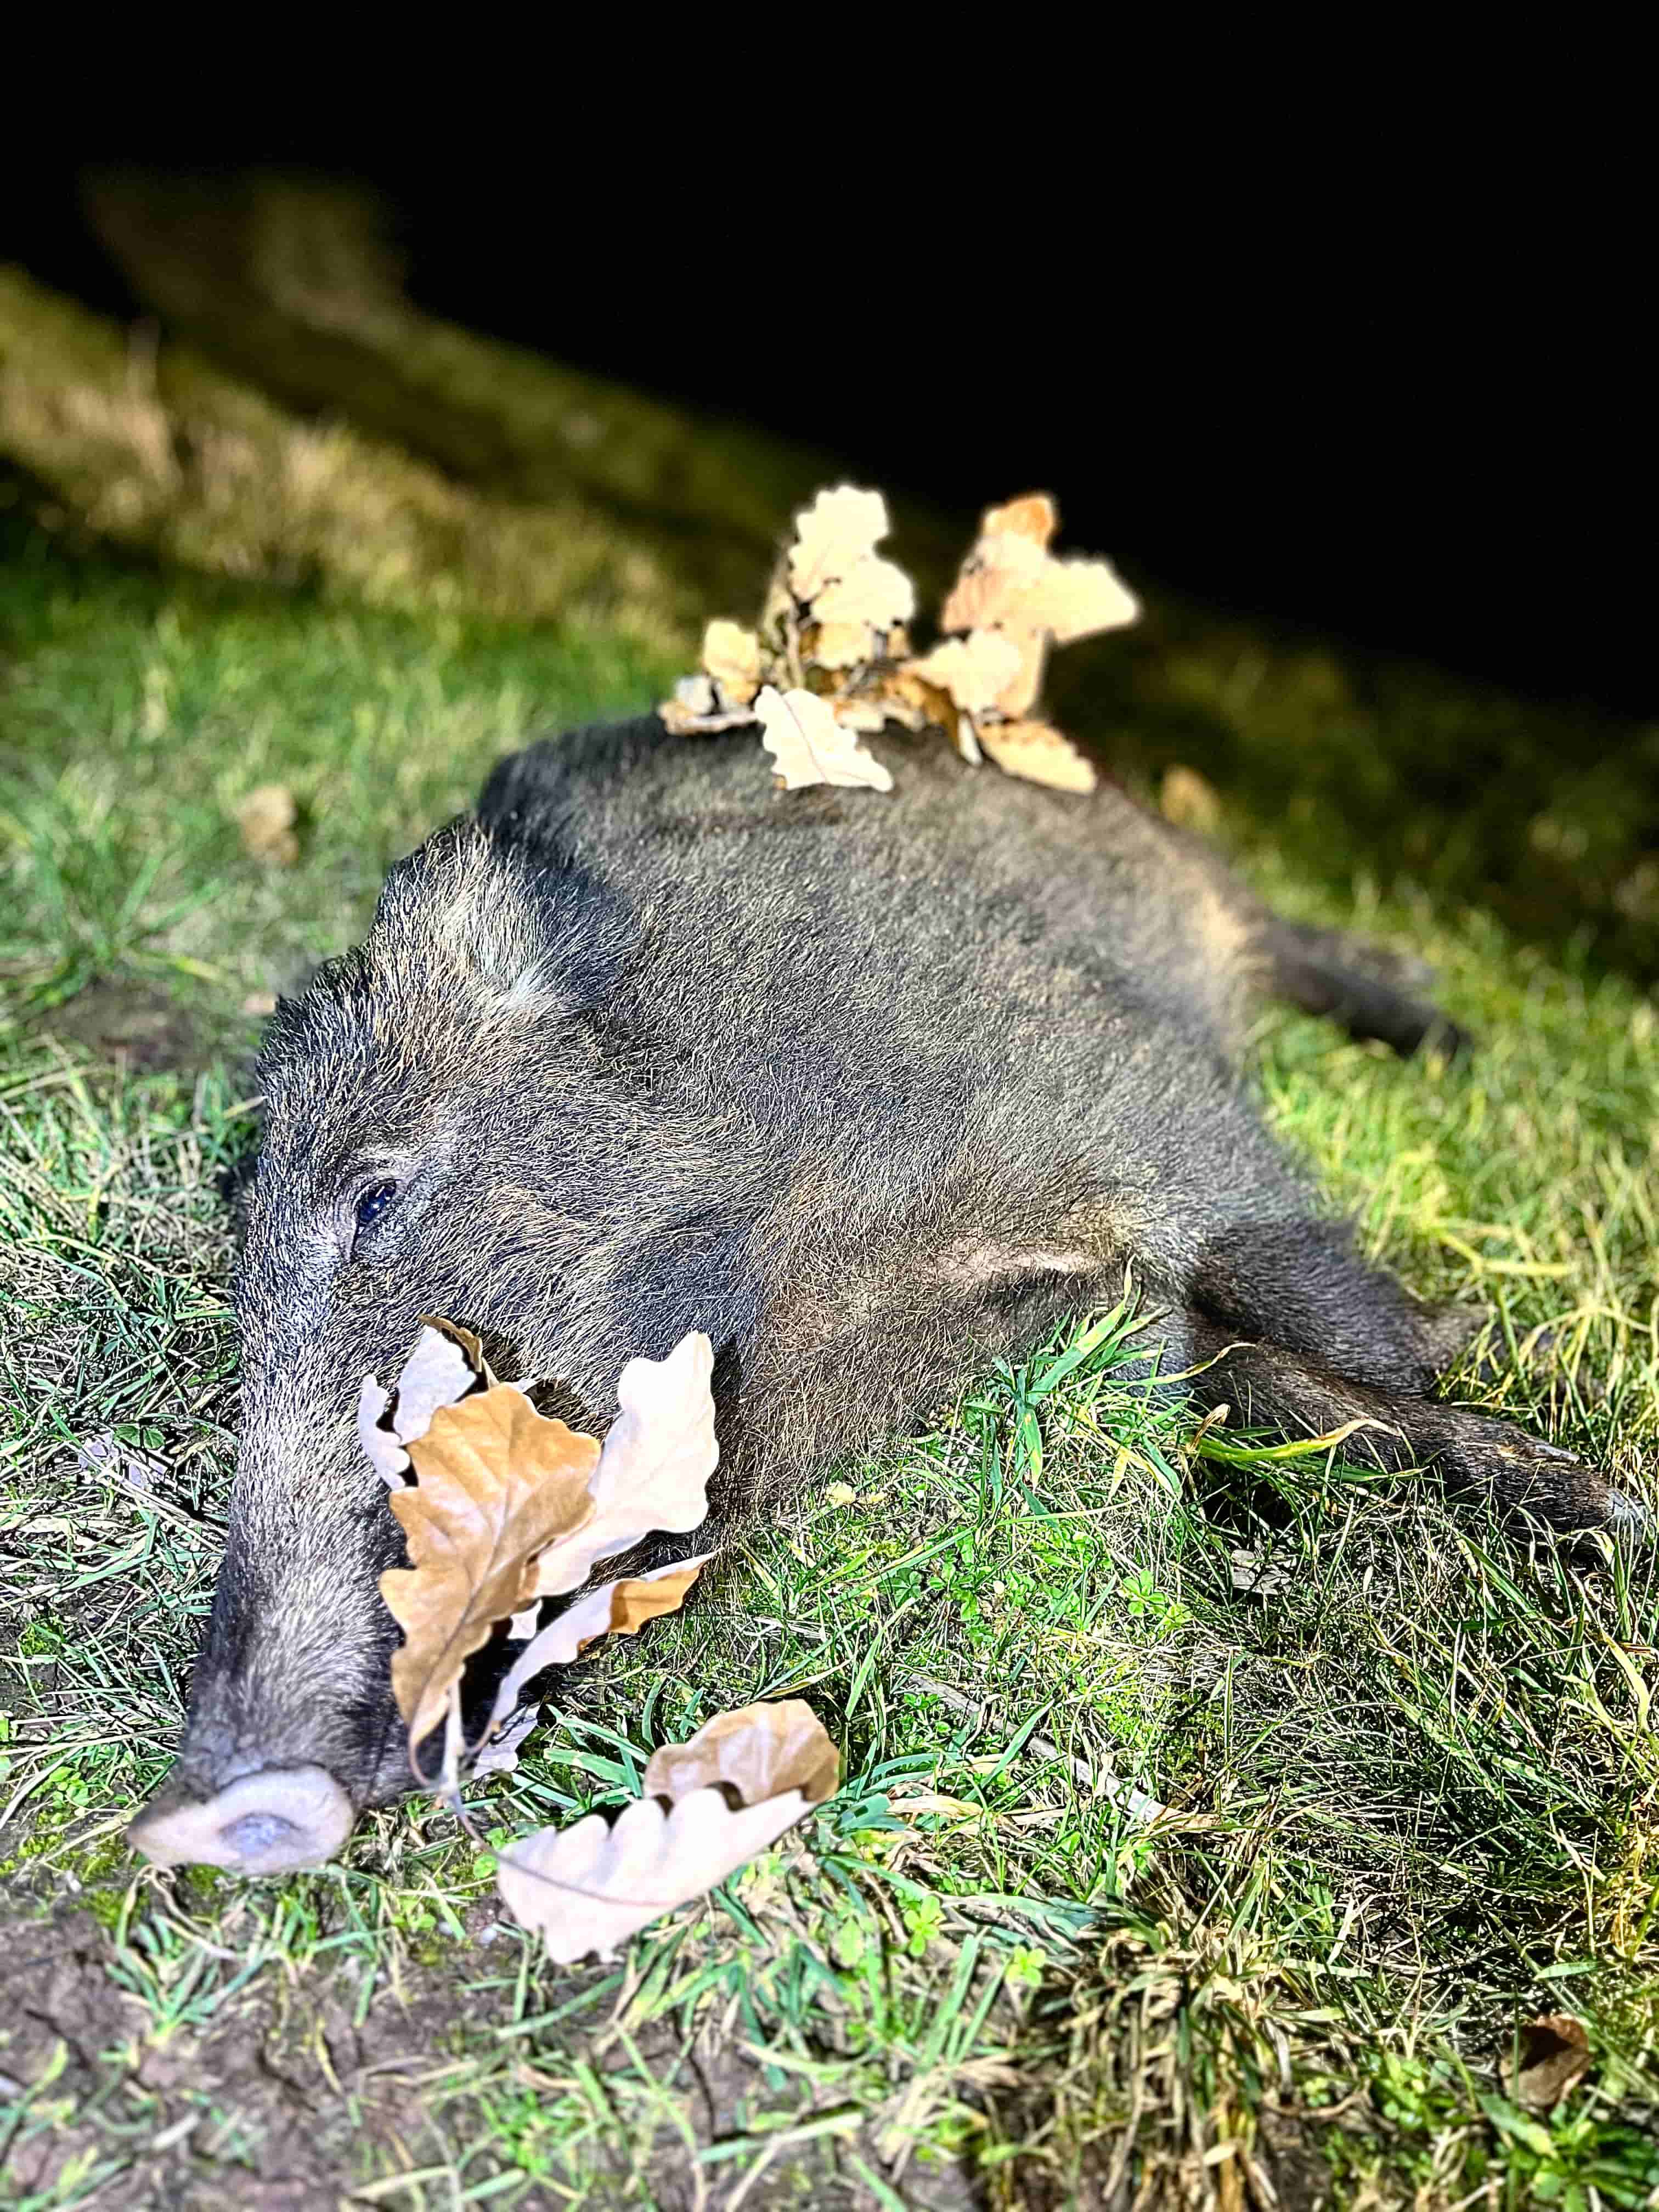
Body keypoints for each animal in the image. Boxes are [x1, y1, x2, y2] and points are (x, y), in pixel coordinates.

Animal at [128, 714, 1647, 1874]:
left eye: (375, 1196)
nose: (196, 1810)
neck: (808, 1265)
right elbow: (1274, 1385)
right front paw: (1591, 1497)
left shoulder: (1117, 1075)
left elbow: (1288, 1271)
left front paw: (1514, 1398)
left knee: (1278, 933)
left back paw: (1450, 1036)